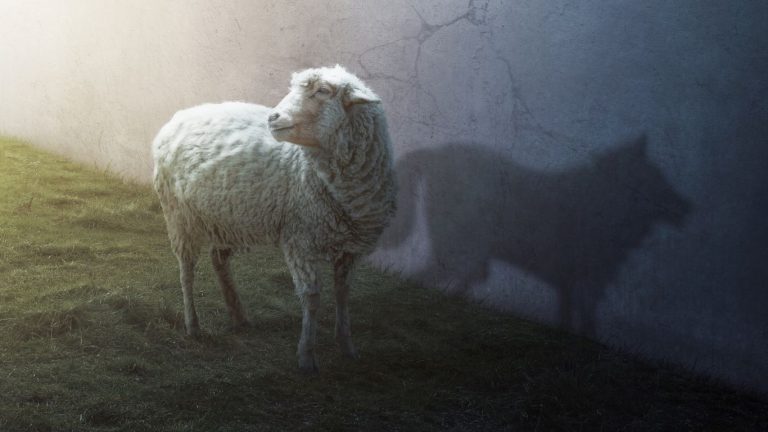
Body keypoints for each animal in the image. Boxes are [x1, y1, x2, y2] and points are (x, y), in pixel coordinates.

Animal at [151, 65, 397, 372]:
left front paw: (347, 346)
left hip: (227, 217)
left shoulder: (351, 248)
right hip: (180, 216)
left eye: (322, 91)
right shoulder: (300, 240)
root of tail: (179, 117)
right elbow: (312, 298)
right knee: (186, 271)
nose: (273, 118)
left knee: (218, 260)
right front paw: (306, 356)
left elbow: (343, 294)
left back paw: (239, 315)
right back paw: (193, 324)